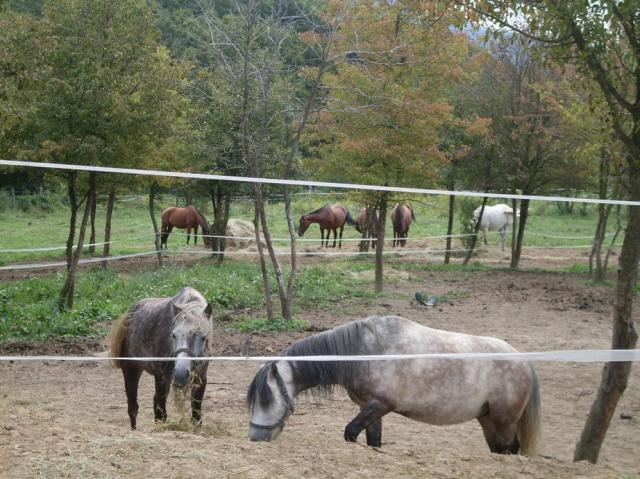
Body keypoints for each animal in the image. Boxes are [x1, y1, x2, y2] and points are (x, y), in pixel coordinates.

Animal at [245, 316, 540, 456]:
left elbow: (349, 433)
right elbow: (372, 441)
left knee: (511, 449)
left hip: (504, 421)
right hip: (488, 420)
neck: (365, 352)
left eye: (267, 400)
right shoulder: (370, 410)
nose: (255, 438)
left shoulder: (380, 405)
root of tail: (523, 361)